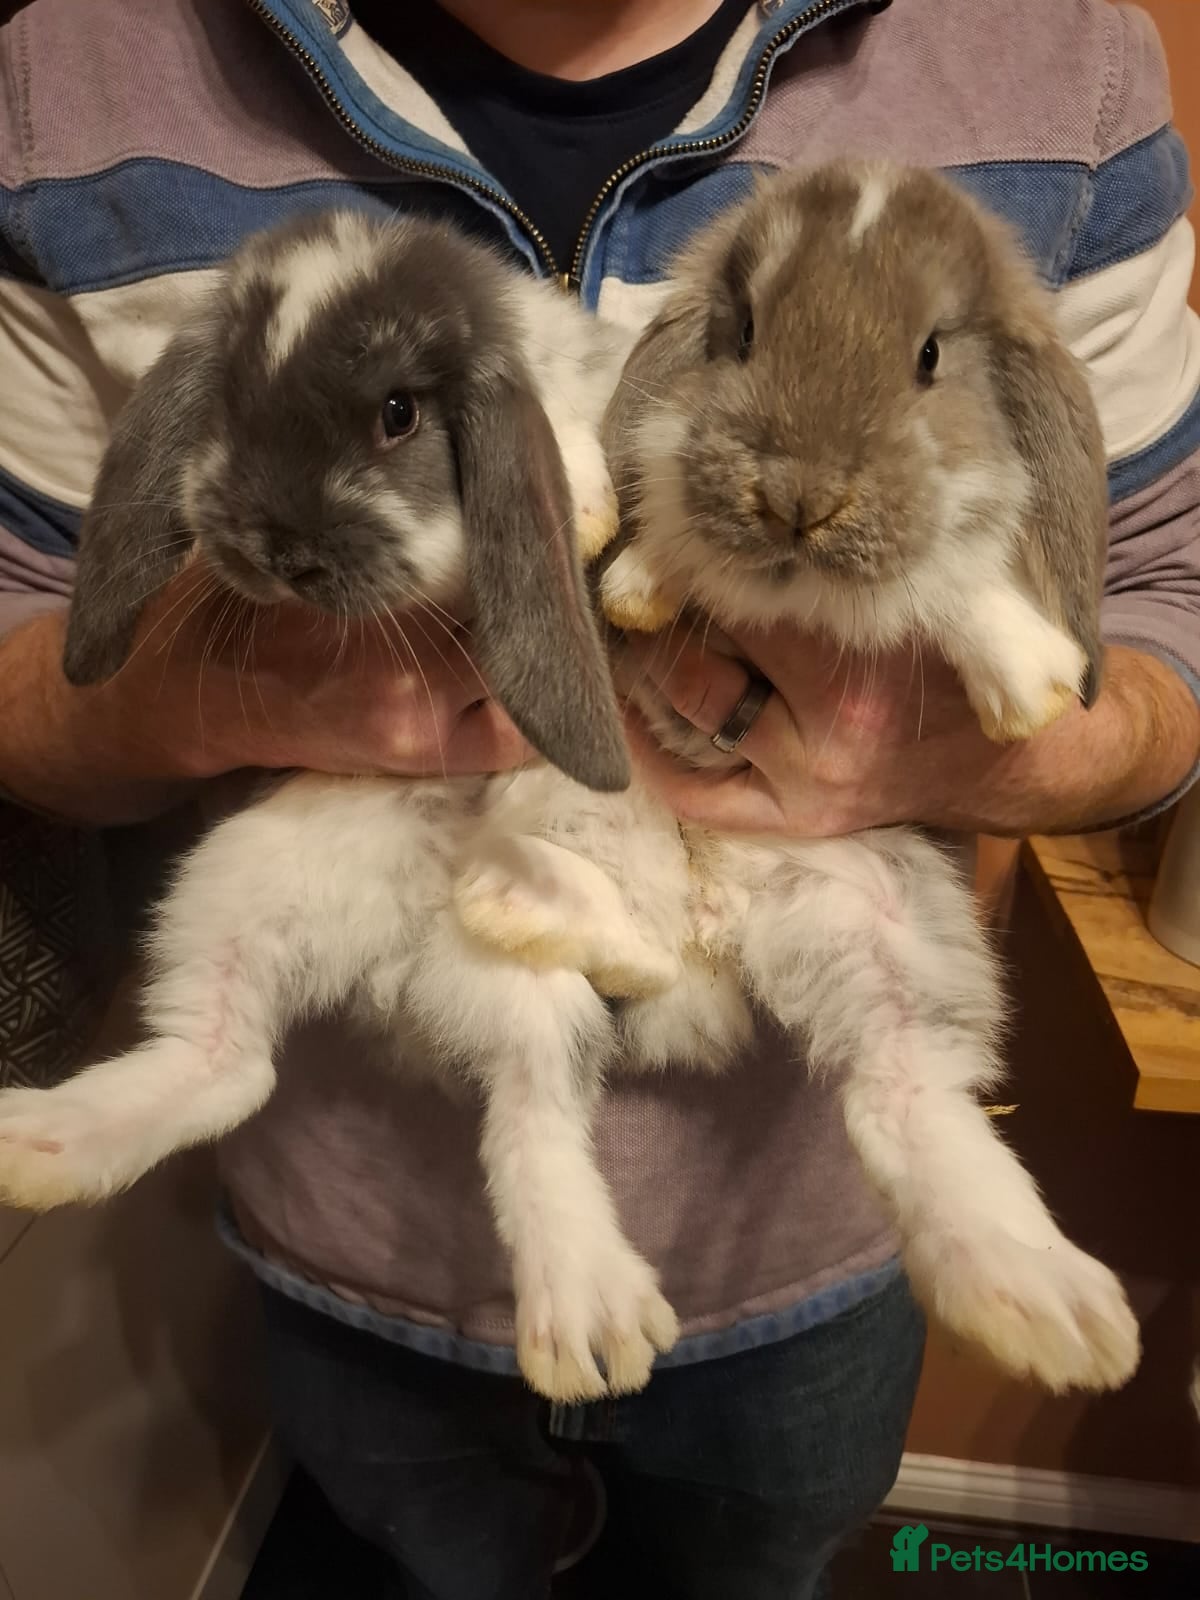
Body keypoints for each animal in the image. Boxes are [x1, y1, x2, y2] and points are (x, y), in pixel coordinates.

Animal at [0, 207, 685, 1398]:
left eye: (398, 414)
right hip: (232, 888)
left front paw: (591, 506)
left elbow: (572, 428)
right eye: (229, 403)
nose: (279, 551)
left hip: (539, 966)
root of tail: (394, 969)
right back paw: (31, 1148)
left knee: (543, 1106)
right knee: (230, 1068)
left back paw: (590, 1325)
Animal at [453, 160, 1142, 1397]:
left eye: (930, 355)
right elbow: (669, 530)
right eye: (743, 331)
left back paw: (1049, 1312)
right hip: (558, 844)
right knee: (540, 1090)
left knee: (901, 1098)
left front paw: (1031, 684)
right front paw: (636, 586)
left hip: (895, 930)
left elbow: (949, 576)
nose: (797, 498)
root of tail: (710, 933)